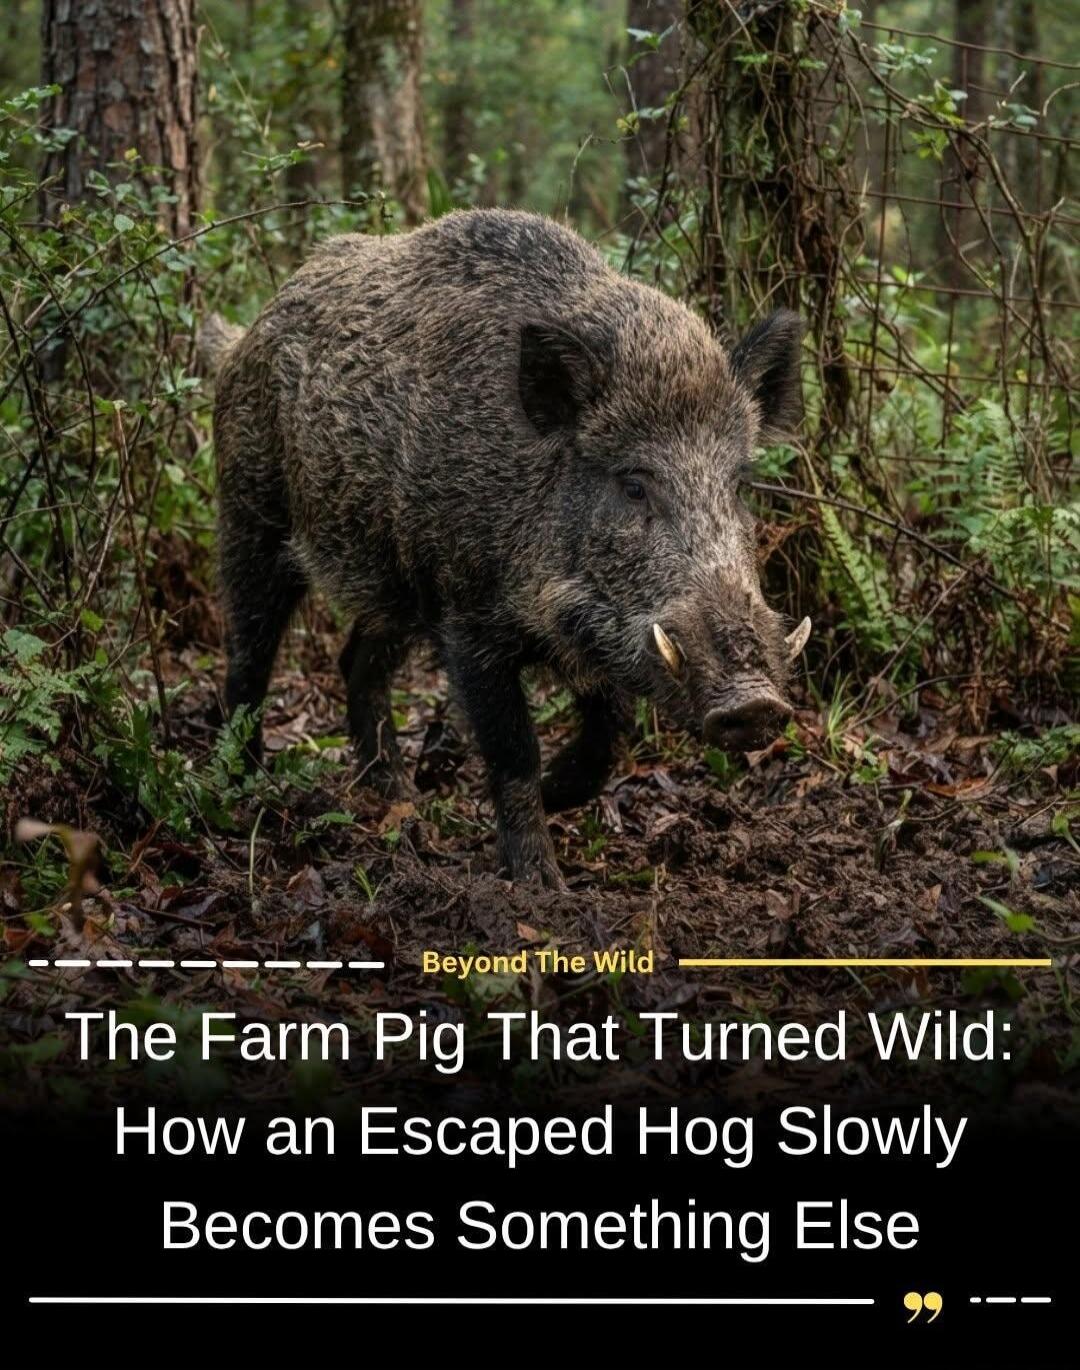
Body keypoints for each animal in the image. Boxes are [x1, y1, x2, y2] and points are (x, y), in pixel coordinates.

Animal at [208, 209, 810, 887]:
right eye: (633, 484)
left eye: (737, 485)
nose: (756, 702)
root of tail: (243, 337)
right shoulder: (468, 617)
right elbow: (512, 747)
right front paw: (539, 884)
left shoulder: (597, 634)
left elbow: (609, 736)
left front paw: (553, 796)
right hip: (251, 508)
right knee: (249, 650)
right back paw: (245, 785)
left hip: (397, 583)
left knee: (356, 659)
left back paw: (397, 797)